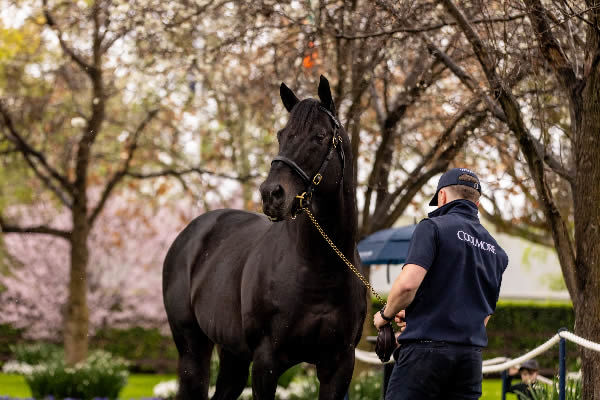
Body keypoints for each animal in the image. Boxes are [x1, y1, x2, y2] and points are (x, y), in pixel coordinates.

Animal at [163, 76, 366, 398]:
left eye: (320, 136)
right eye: (281, 134)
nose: (271, 194)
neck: (320, 269)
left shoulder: (339, 366)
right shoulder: (266, 363)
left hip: (233, 355)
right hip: (192, 350)